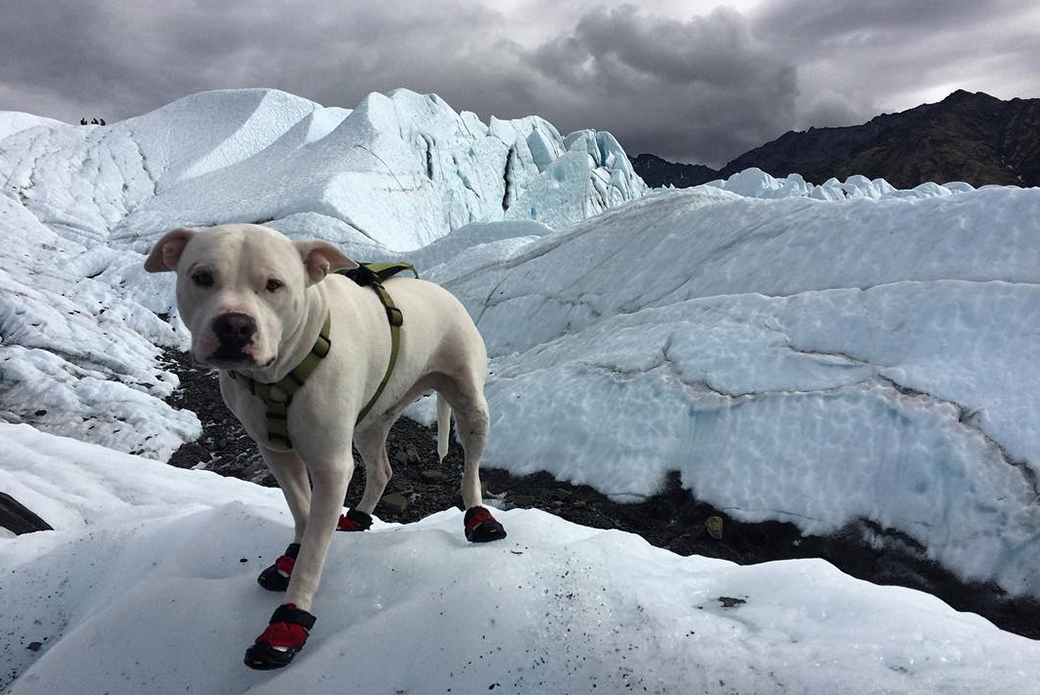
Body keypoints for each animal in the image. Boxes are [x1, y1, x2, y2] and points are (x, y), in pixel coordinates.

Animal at [145, 222, 503, 665]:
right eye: (202, 277)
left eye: (274, 284)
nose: (234, 326)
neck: (279, 373)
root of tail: (442, 290)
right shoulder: (276, 451)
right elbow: (302, 511)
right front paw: (292, 556)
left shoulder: (331, 465)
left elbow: (315, 547)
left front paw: (288, 621)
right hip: (372, 419)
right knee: (381, 468)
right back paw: (359, 516)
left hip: (469, 402)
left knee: (470, 468)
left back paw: (480, 517)